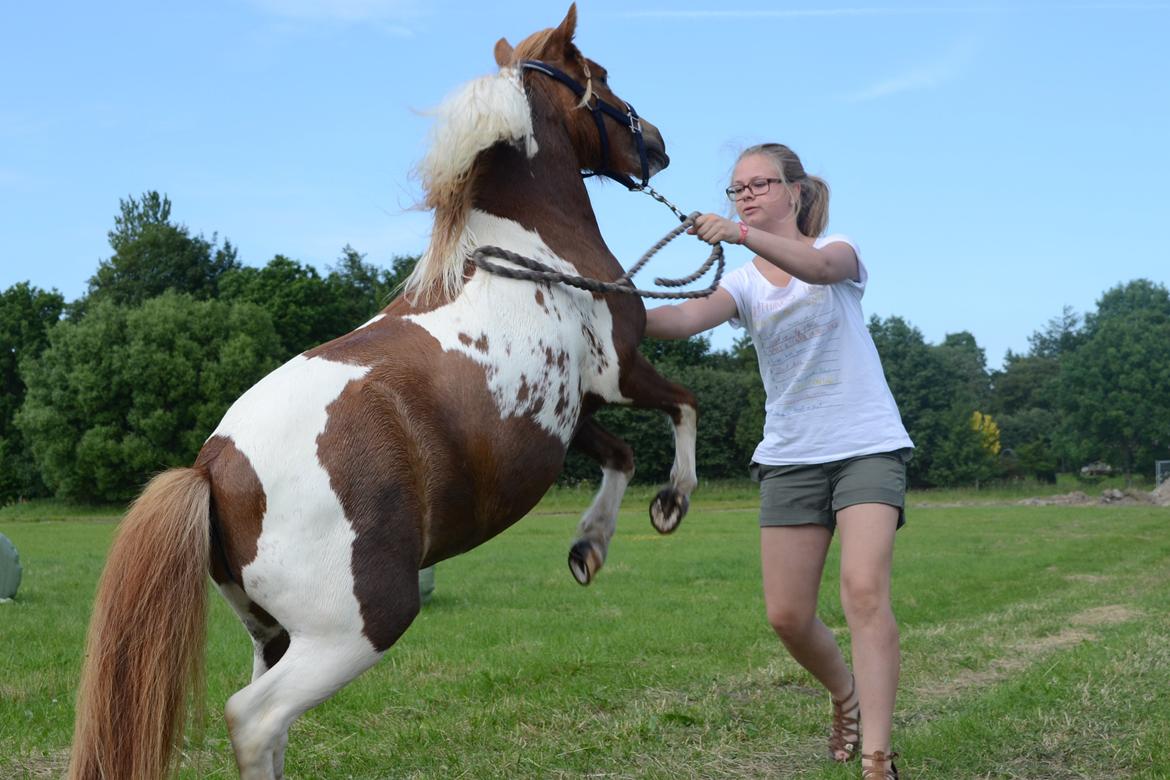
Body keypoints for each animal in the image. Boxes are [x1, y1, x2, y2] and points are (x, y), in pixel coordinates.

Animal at [68, 7, 697, 780]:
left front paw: (589, 547)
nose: (656, 147)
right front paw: (671, 504)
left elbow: (618, 456)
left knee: (269, 726)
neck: (532, 251)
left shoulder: (569, 415)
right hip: (360, 624)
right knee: (253, 719)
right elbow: (682, 408)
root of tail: (214, 467)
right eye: (599, 76)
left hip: (272, 635)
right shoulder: (620, 372)